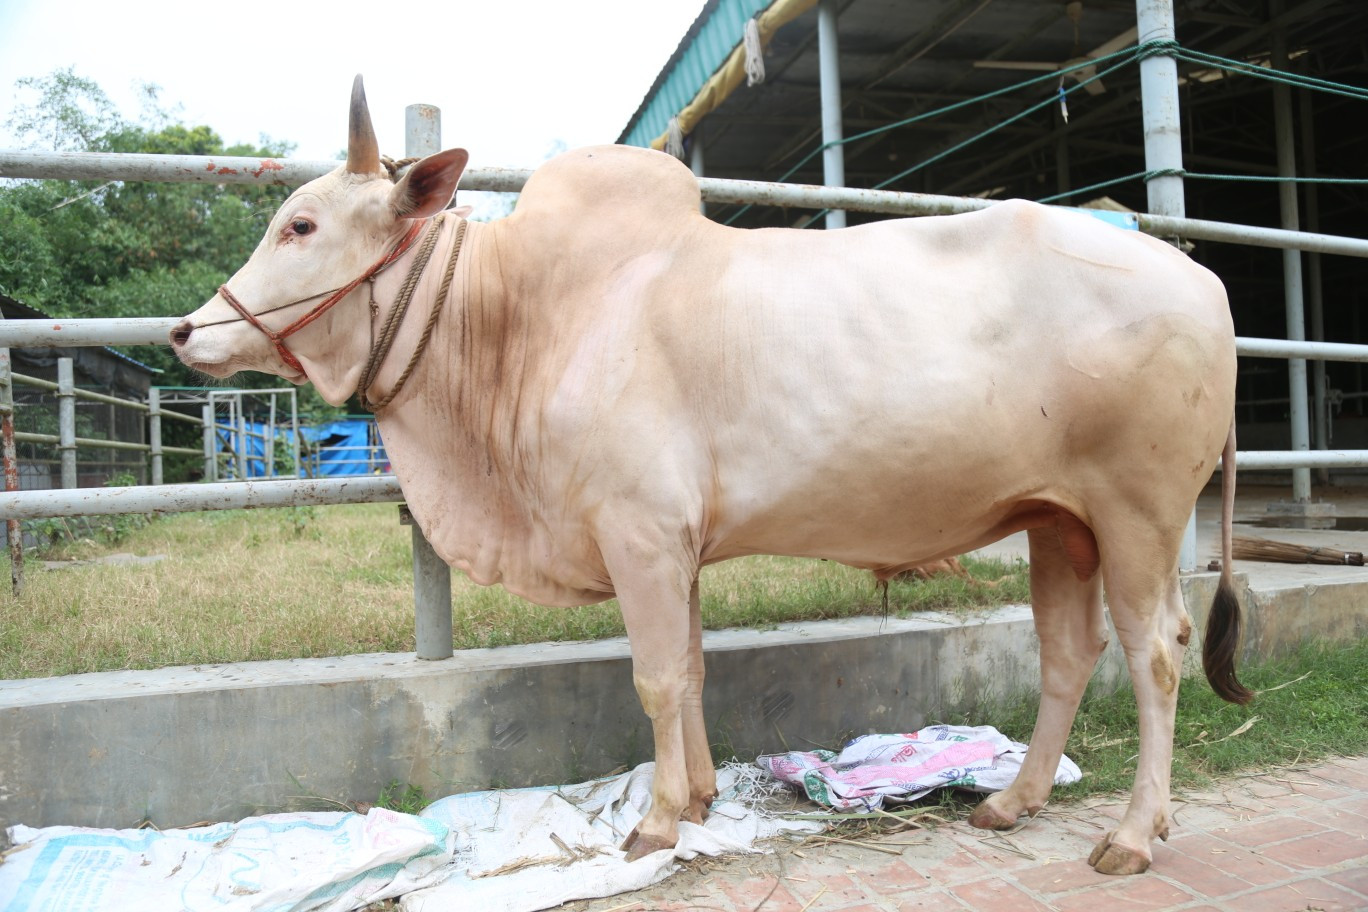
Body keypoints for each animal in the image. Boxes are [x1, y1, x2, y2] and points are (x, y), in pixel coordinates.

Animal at [170, 77, 1249, 876]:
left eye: (301, 225)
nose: (186, 330)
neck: (523, 314)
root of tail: (1201, 279)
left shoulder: (640, 532)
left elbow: (655, 676)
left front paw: (652, 823)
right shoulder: (673, 543)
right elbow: (687, 669)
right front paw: (692, 798)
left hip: (1139, 514)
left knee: (1154, 654)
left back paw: (1130, 834)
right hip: (1057, 520)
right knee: (1069, 656)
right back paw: (1014, 802)